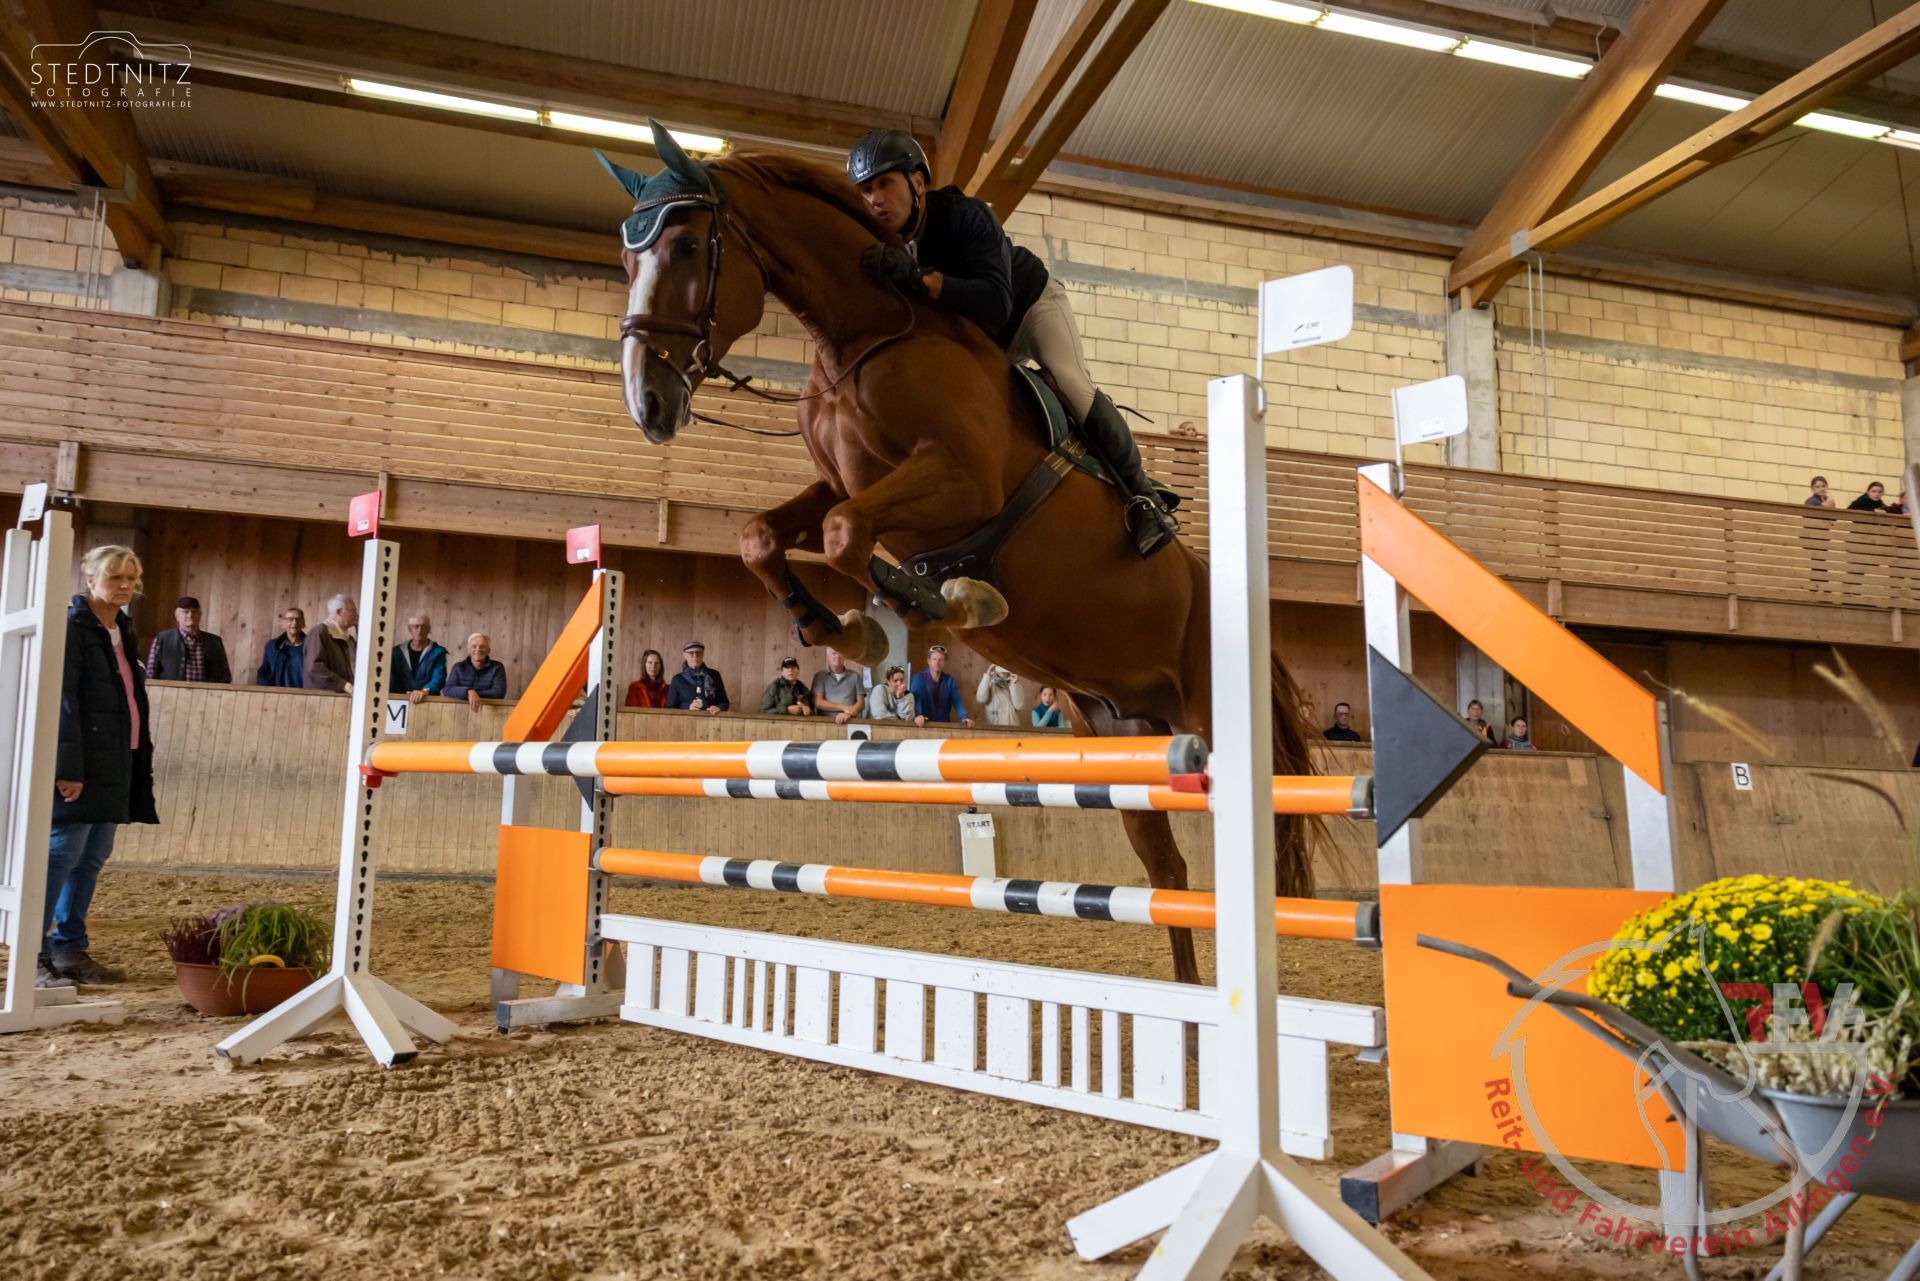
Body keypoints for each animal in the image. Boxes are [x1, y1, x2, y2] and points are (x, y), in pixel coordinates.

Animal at [599, 125, 1318, 984]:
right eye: (625, 258)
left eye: (682, 246)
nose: (646, 405)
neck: (862, 333)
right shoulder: (842, 481)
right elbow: (769, 535)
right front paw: (844, 628)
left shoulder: (962, 481)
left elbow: (845, 533)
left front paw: (931, 602)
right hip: (1124, 736)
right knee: (1166, 868)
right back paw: (1186, 1006)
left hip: (1206, 714)